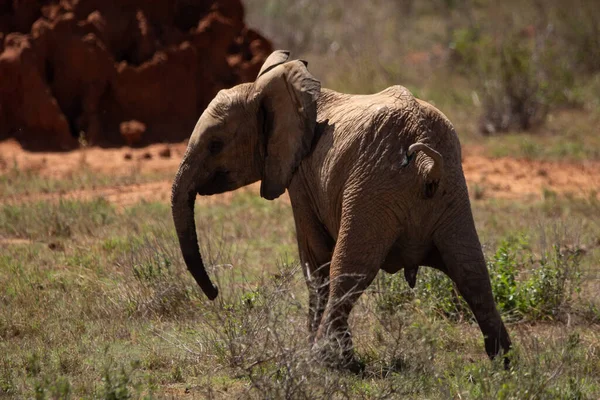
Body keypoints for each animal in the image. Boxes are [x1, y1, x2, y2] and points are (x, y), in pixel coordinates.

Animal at [172, 50, 510, 372]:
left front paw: (319, 352)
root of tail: (426, 162)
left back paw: (323, 362)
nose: (215, 292)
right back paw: (504, 364)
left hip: (374, 189)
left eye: (215, 145)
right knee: (471, 270)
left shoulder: (300, 176)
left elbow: (316, 260)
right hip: (450, 189)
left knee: (348, 273)